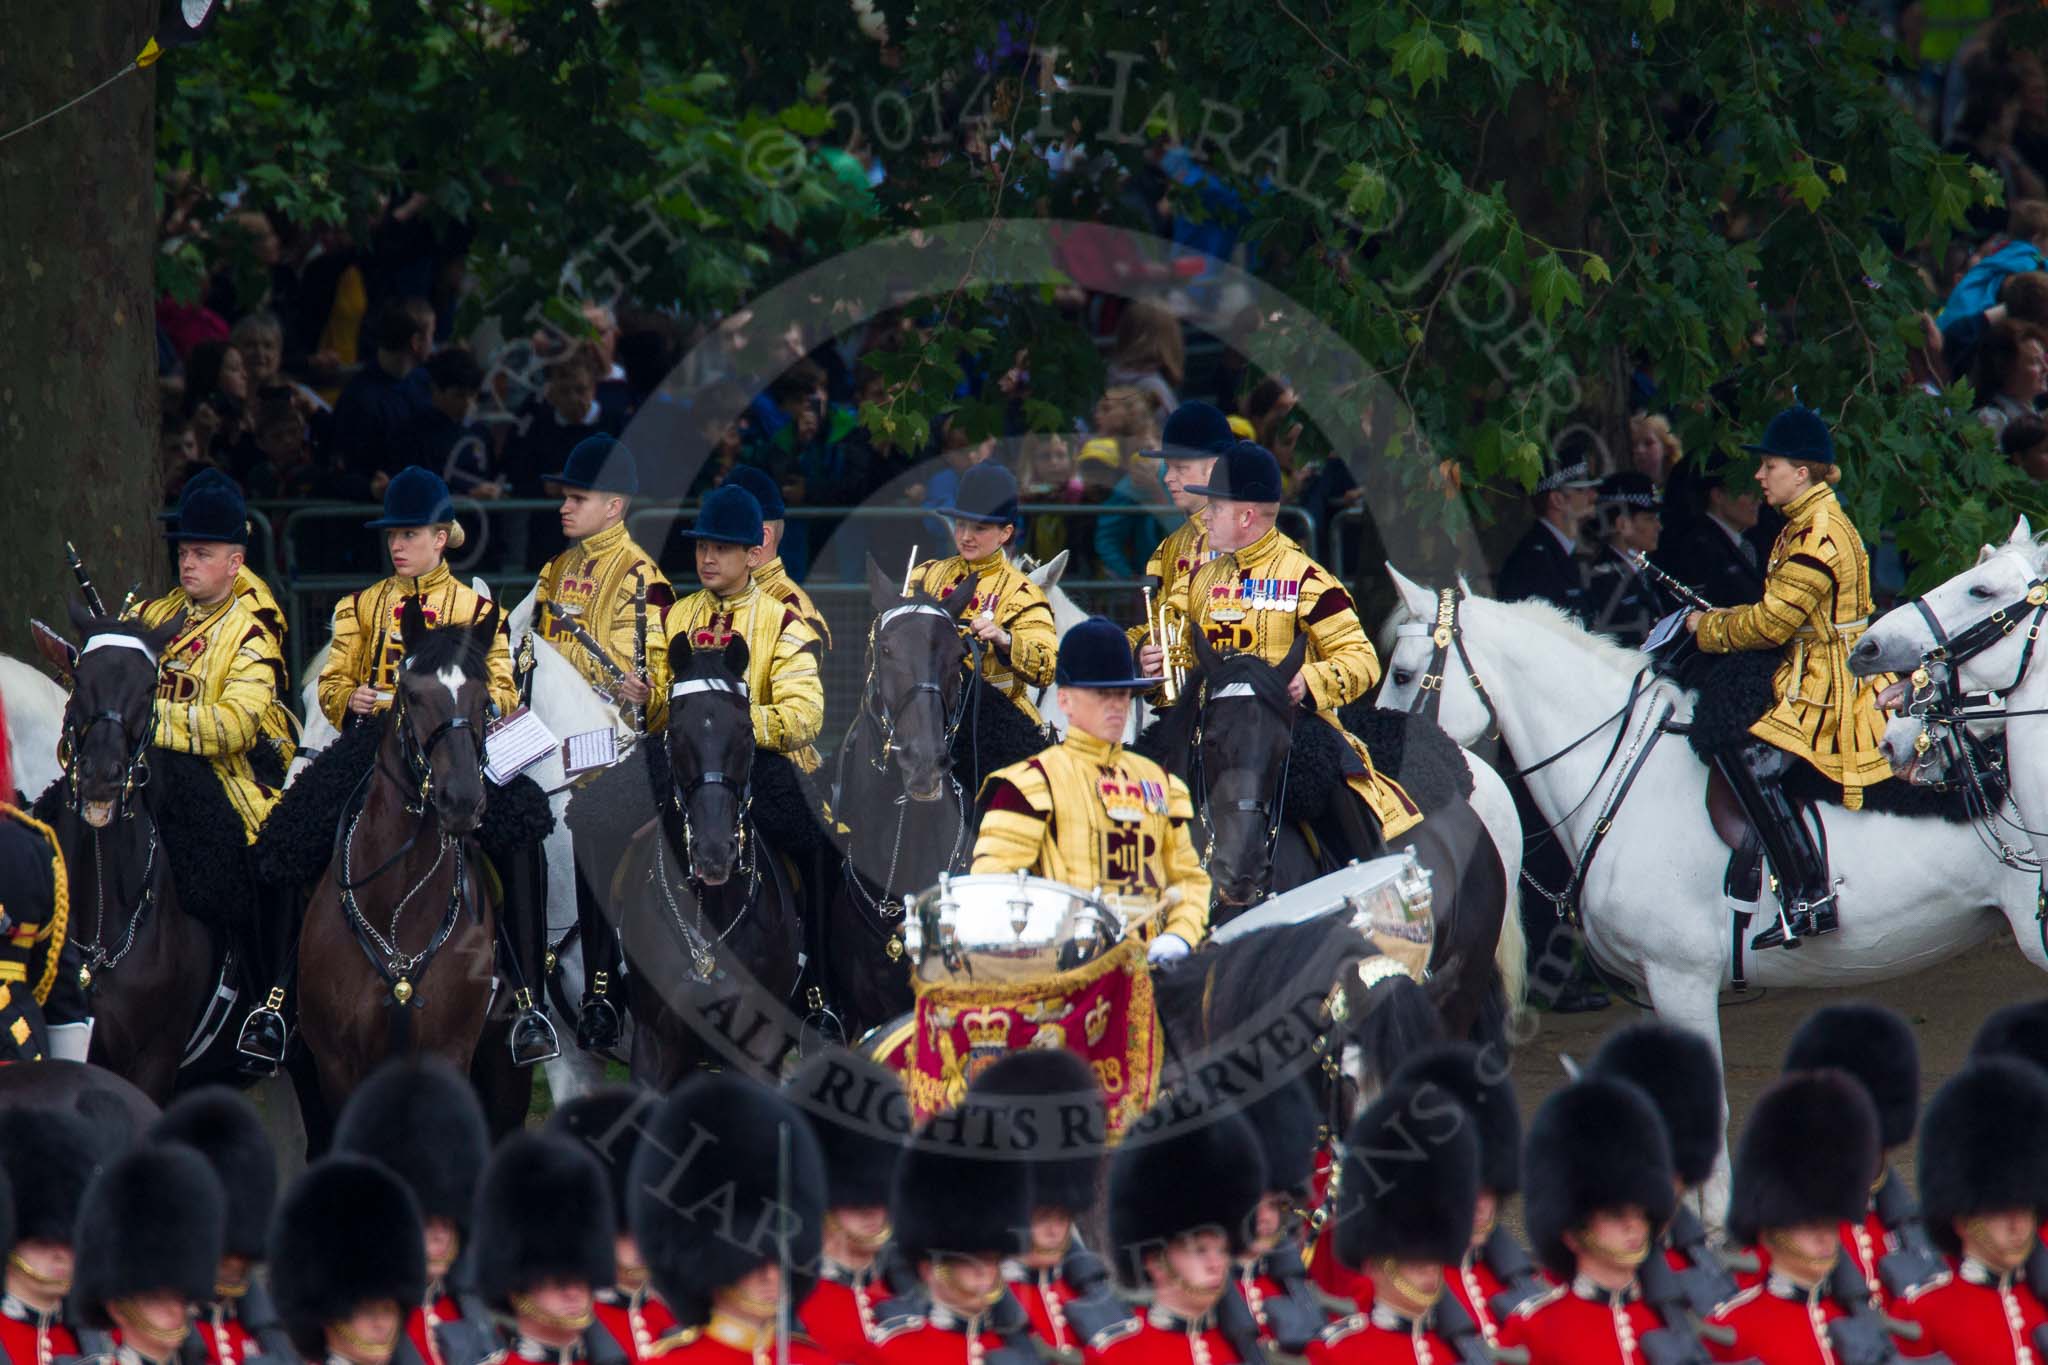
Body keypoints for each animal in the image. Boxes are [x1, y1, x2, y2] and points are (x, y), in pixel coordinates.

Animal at [1368, 564, 2048, 1219]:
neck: (1628, 778)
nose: (1387, 781)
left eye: (1402, 674)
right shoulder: (1653, 986)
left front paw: (1715, 1217)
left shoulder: (1682, 980)